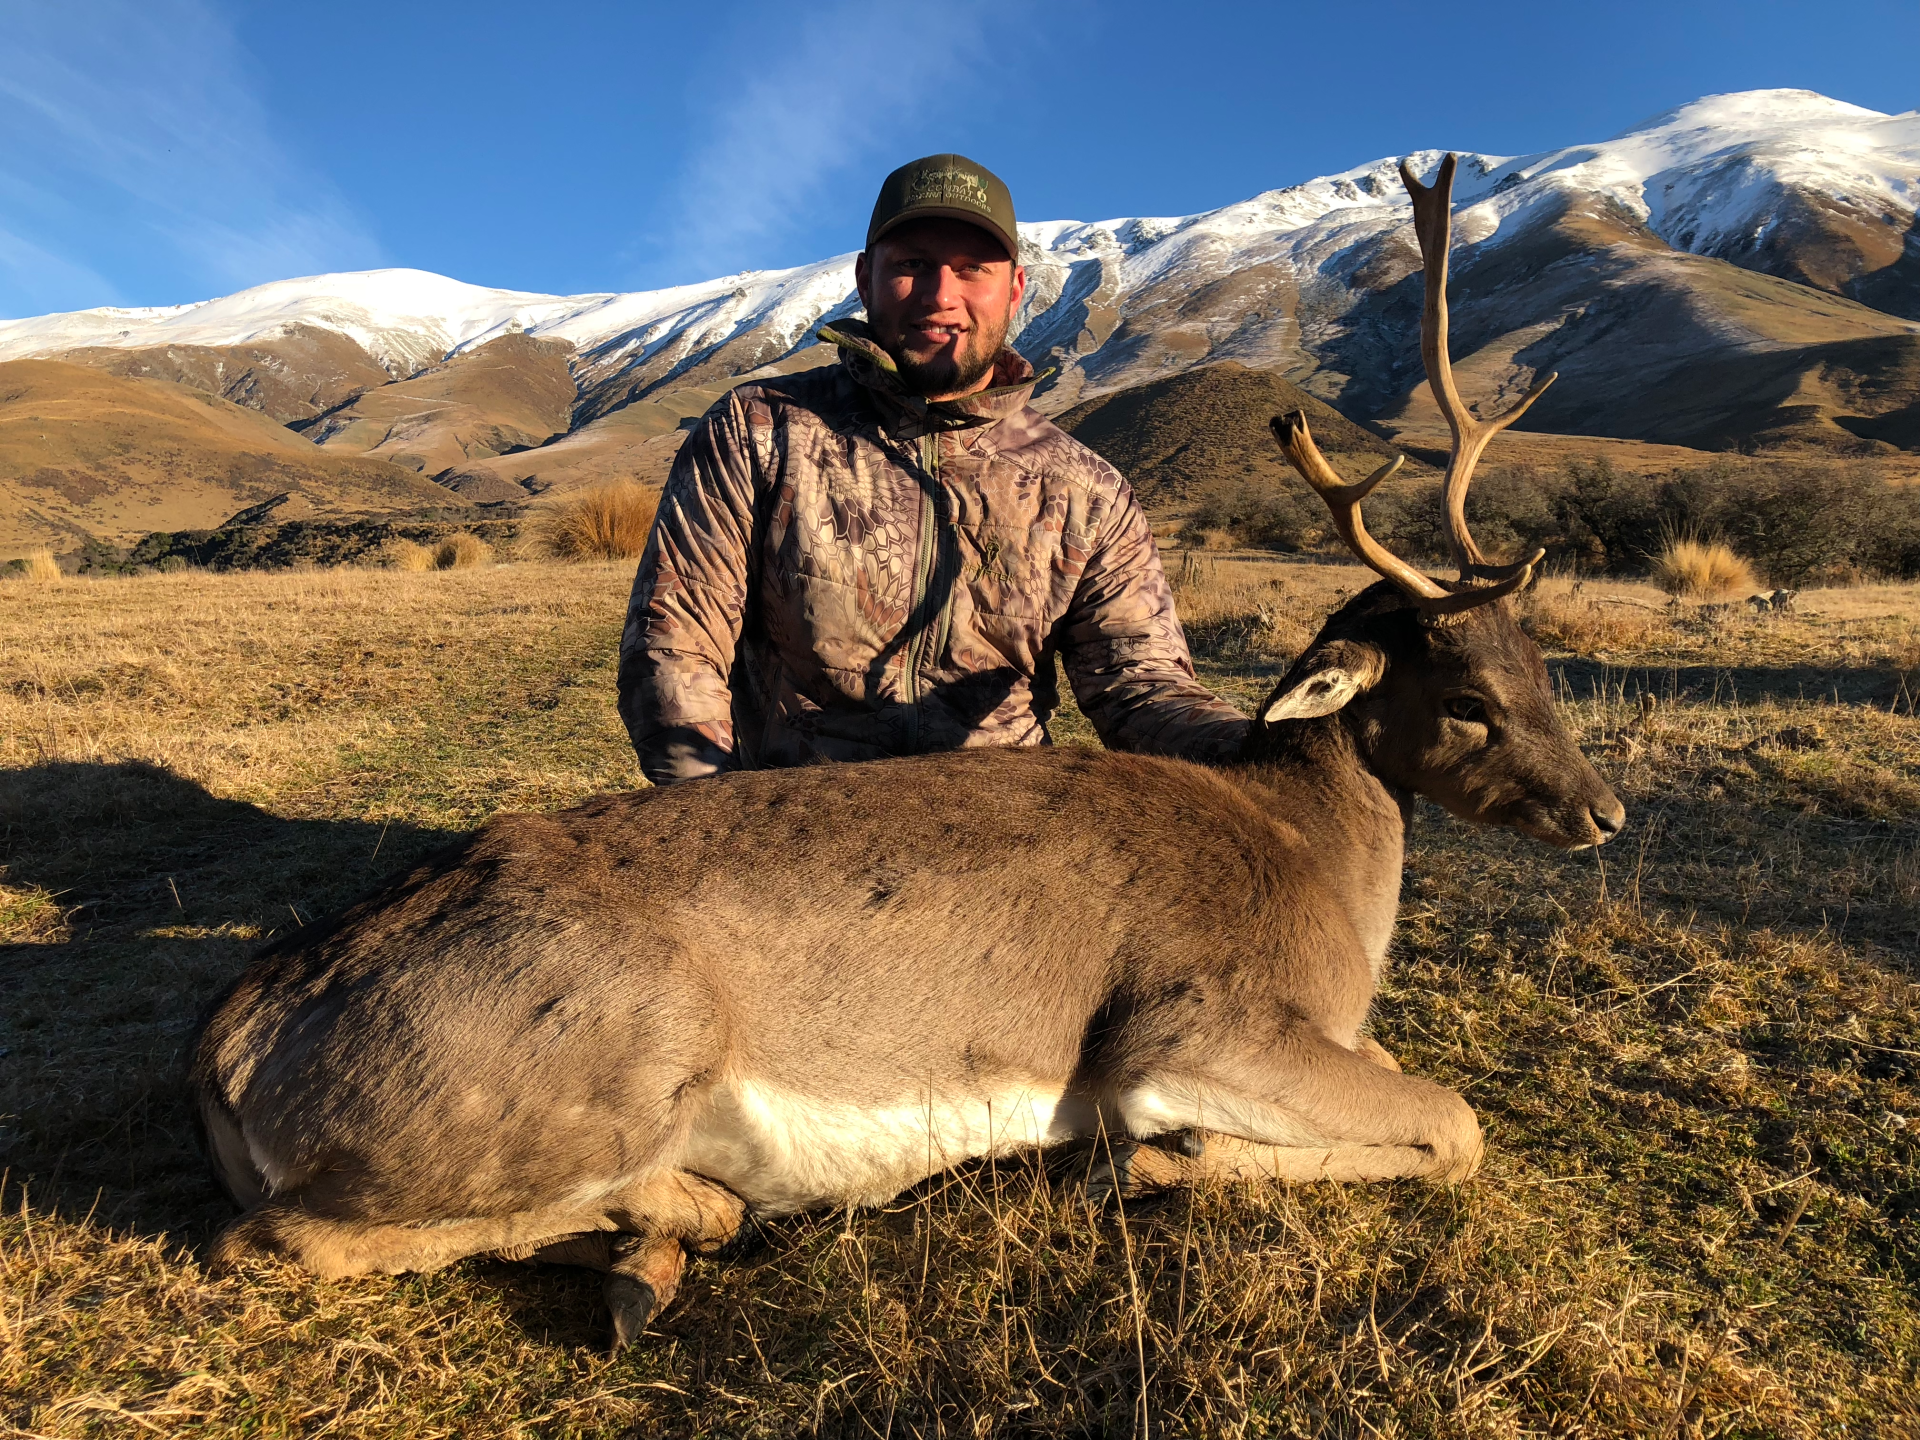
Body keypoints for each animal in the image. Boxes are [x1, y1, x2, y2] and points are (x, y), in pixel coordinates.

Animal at [189, 153, 1624, 1349]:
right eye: (1467, 700)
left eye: (1540, 665)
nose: (1603, 812)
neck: (1311, 855)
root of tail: (231, 1040)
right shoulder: (1182, 1026)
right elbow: (1452, 1121)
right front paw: (1158, 1163)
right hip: (601, 1063)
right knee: (276, 1238)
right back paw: (689, 1223)